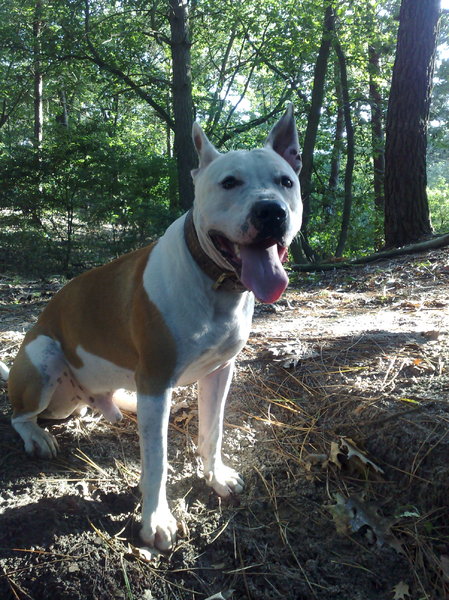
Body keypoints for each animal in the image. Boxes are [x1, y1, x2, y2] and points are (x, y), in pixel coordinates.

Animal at [0, 105, 300, 552]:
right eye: (229, 182)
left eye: (286, 182)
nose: (270, 212)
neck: (214, 281)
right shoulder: (156, 382)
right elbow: (156, 461)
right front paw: (156, 520)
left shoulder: (219, 372)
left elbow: (213, 430)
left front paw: (215, 477)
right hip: (43, 356)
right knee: (19, 415)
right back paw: (36, 437)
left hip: (74, 401)